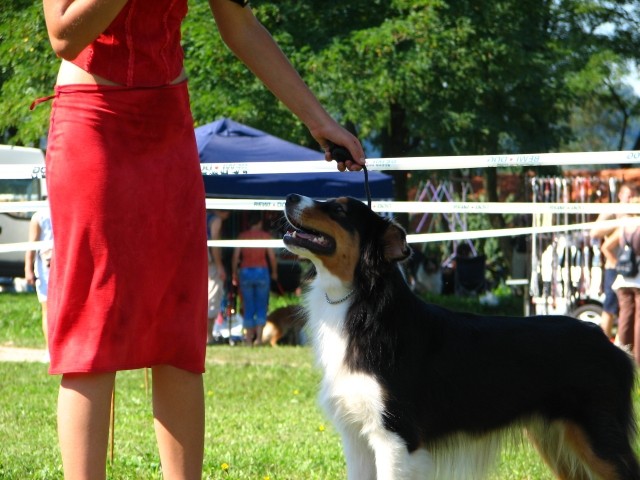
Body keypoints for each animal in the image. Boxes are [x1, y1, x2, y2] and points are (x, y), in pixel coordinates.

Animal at [284, 194, 640, 480]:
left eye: (339, 210)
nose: (290, 197)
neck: (362, 302)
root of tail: (615, 348)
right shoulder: (357, 436)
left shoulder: (396, 437)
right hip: (558, 440)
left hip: (598, 439)